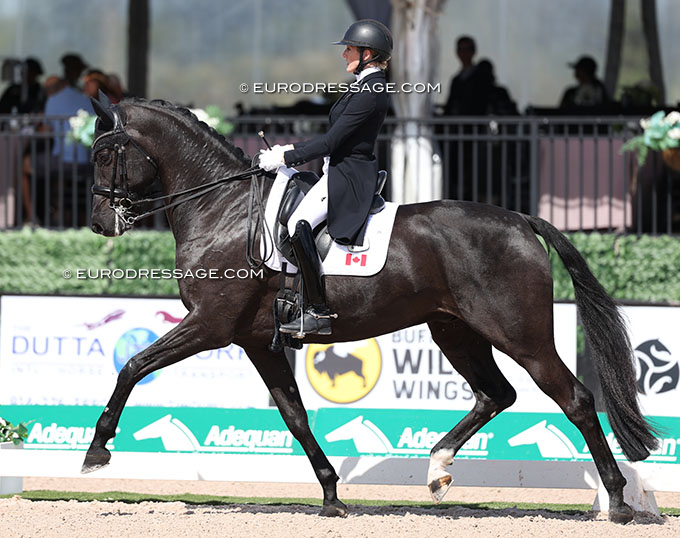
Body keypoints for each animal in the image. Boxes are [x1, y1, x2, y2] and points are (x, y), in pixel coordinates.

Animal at [82, 97, 657, 523]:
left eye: (105, 154)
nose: (99, 224)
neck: (221, 211)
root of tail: (520, 220)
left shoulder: (210, 326)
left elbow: (132, 366)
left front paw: (96, 451)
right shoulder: (254, 341)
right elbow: (295, 416)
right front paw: (333, 496)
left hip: (521, 335)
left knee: (575, 400)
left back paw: (618, 502)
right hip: (456, 331)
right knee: (496, 394)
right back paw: (437, 469)